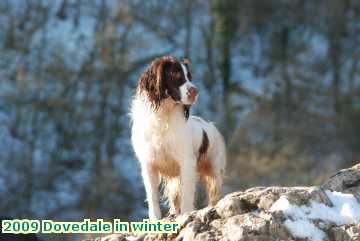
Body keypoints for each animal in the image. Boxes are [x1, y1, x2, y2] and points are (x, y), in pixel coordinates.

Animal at [130, 55, 225, 220]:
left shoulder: (187, 162)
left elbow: (187, 194)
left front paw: (186, 214)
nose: (195, 91)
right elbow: (152, 196)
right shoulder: (148, 164)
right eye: (176, 76)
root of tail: (211, 125)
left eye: (189, 77)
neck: (163, 116)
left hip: (215, 170)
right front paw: (155, 219)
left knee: (215, 193)